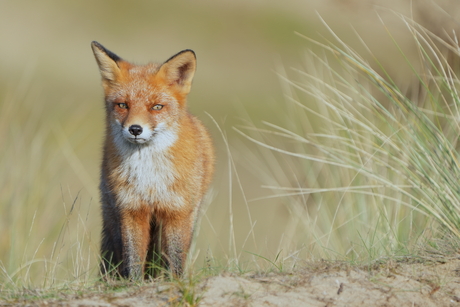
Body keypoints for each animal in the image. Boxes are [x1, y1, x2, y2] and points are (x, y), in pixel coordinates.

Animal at [92, 40, 217, 280]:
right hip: (113, 216)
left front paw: (175, 283)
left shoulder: (177, 212)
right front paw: (133, 284)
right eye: (123, 105)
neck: (149, 176)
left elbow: (175, 259)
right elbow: (133, 259)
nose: (135, 129)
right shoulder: (131, 209)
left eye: (156, 107)